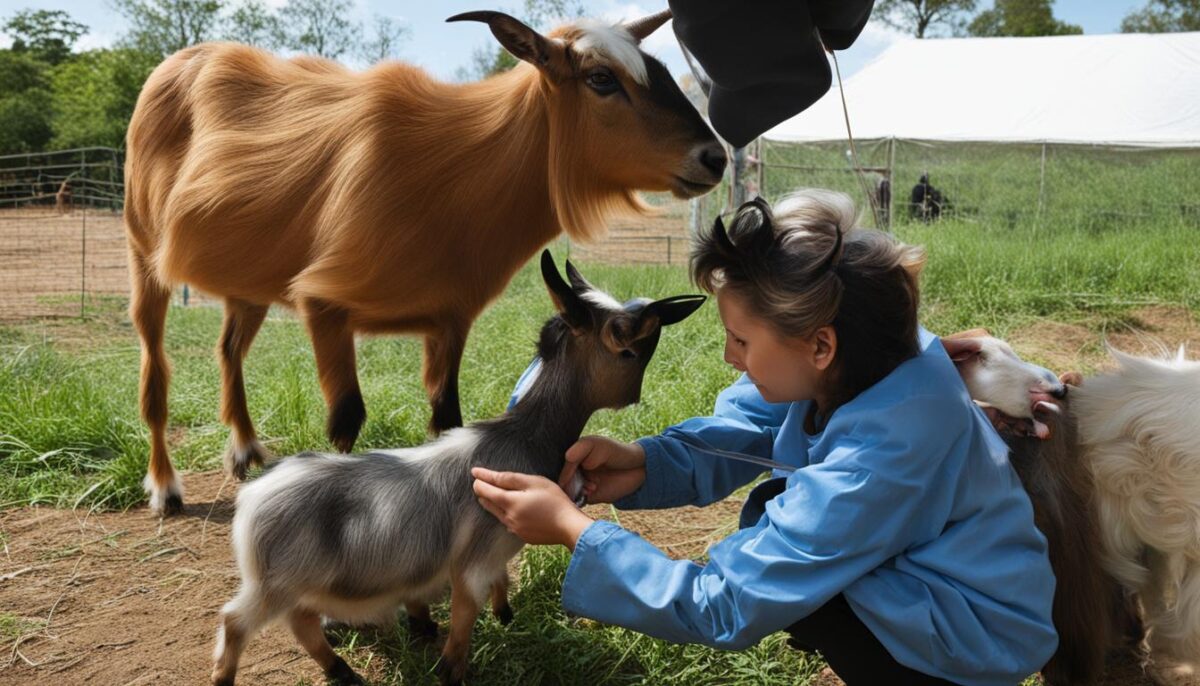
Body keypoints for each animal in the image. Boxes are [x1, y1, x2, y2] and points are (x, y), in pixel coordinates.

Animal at [123, 8, 725, 514]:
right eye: (602, 79)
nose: (714, 157)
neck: (456, 168)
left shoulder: (448, 322)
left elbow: (446, 417)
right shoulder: (324, 305)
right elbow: (347, 418)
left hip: (248, 287)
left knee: (228, 350)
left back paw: (245, 449)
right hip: (143, 253)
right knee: (154, 375)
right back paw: (165, 487)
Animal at [210, 250, 705, 686]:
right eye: (626, 344)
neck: (520, 438)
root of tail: (251, 498)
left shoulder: (492, 552)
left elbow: (498, 584)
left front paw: (504, 615)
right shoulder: (474, 562)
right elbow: (465, 620)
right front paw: (451, 670)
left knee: (301, 621)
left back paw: (341, 670)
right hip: (275, 583)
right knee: (239, 621)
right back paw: (233, 675)